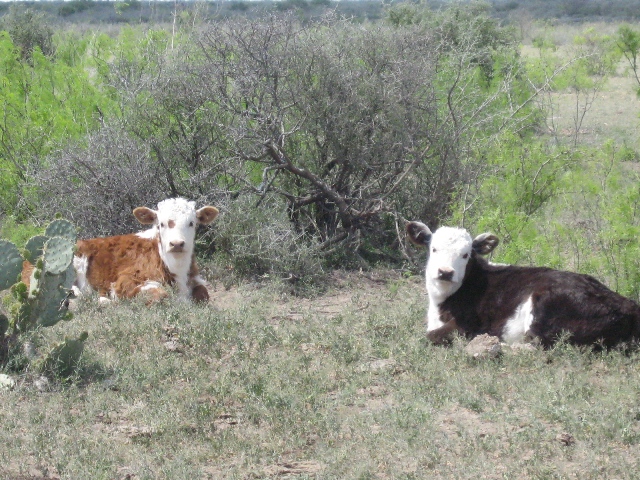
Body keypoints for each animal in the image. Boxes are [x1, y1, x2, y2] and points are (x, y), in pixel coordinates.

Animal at [72, 198, 219, 303]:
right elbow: (161, 295)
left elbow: (203, 293)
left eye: (191, 223)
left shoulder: (194, 278)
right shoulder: (126, 279)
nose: (177, 244)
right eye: (161, 224)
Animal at [406, 221, 640, 348]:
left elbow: (430, 336)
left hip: (545, 306)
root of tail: (629, 305)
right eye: (433, 249)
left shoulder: (468, 325)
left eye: (465, 254)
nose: (445, 272)